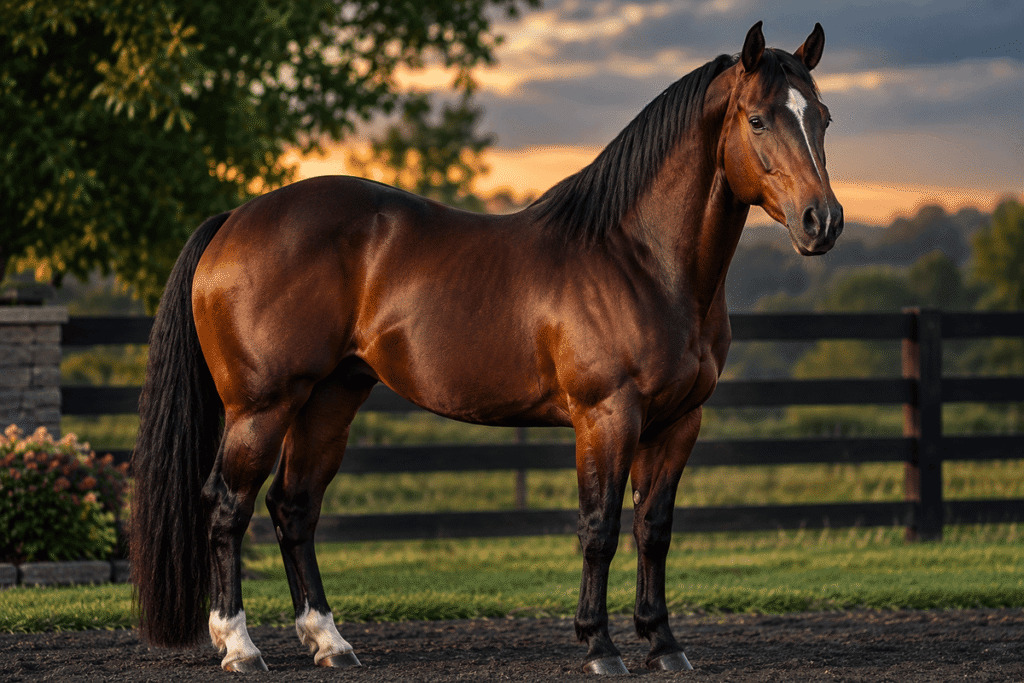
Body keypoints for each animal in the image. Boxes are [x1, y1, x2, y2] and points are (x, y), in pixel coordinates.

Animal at [130, 20, 842, 675]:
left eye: (824, 118)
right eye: (757, 120)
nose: (823, 221)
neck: (640, 261)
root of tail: (236, 219)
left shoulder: (677, 423)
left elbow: (654, 530)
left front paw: (663, 644)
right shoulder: (607, 417)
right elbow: (600, 528)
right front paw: (600, 647)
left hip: (330, 398)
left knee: (293, 506)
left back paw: (329, 642)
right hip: (262, 406)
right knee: (228, 507)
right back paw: (240, 647)